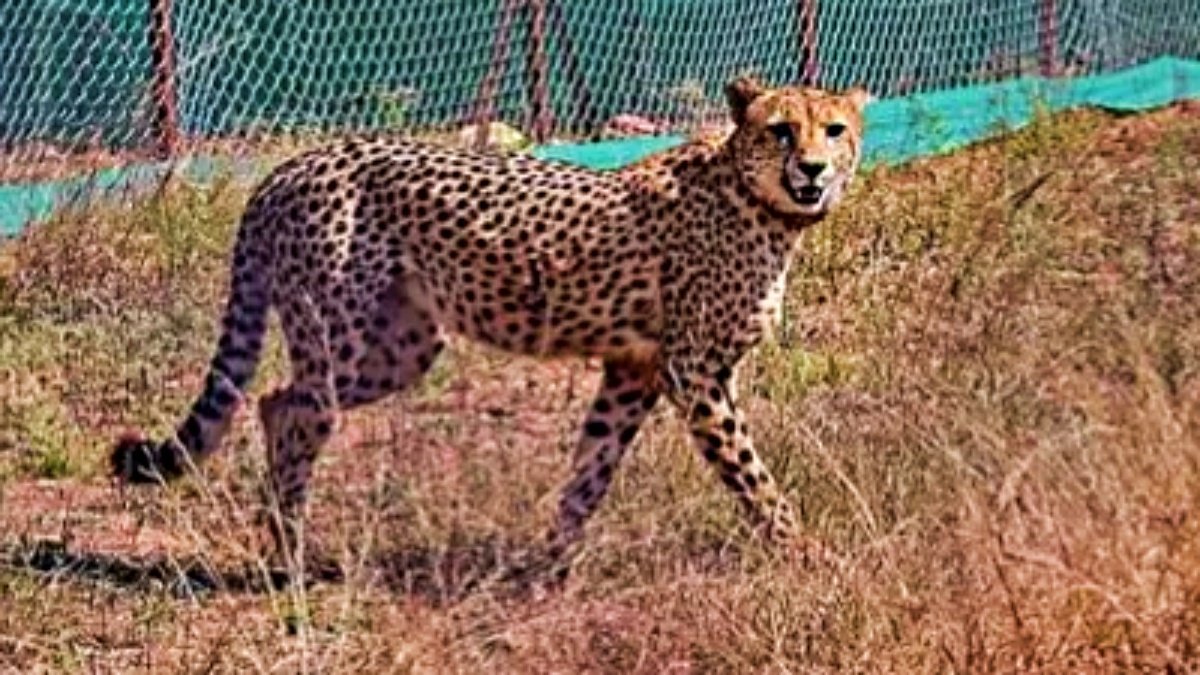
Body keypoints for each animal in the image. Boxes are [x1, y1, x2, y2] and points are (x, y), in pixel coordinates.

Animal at [112, 76, 869, 572]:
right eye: (781, 129)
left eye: (834, 130)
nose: (812, 168)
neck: (758, 200)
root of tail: (291, 166)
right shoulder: (697, 374)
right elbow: (752, 475)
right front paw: (809, 554)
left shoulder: (634, 370)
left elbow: (590, 469)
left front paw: (549, 566)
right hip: (342, 335)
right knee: (296, 410)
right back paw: (291, 556)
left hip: (402, 347)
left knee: (276, 401)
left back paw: (283, 541)